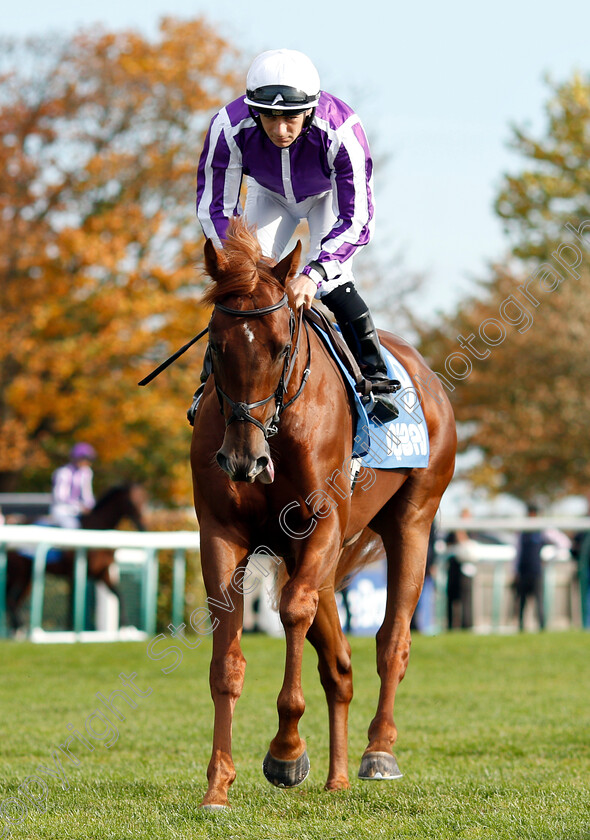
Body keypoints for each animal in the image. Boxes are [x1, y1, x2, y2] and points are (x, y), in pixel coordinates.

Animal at [192, 220, 456, 812]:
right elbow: (226, 658)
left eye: (280, 346)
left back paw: (377, 751)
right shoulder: (222, 535)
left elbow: (292, 612)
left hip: (412, 522)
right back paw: (337, 777)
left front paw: (286, 751)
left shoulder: (322, 526)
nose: (243, 461)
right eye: (216, 346)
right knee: (339, 663)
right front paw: (218, 782)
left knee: (391, 640)